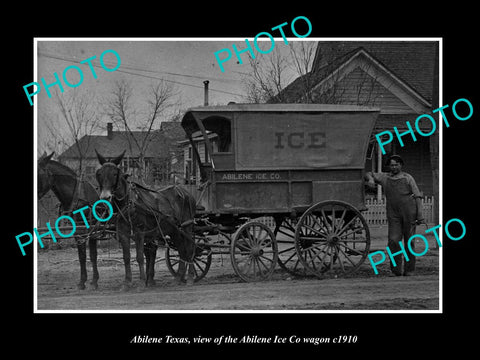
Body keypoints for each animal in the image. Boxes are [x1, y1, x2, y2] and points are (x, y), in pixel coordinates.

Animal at [38, 152, 103, 290]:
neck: (78, 197)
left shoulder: (90, 231)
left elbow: (92, 255)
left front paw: (94, 280)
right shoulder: (78, 231)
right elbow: (82, 256)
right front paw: (83, 281)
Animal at [94, 149, 196, 286]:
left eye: (115, 174)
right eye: (99, 174)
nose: (105, 197)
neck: (128, 202)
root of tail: (186, 192)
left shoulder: (139, 231)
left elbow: (139, 257)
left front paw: (142, 282)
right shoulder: (123, 232)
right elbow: (127, 257)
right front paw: (127, 282)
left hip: (187, 225)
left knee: (190, 248)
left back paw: (190, 277)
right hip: (174, 229)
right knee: (181, 249)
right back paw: (179, 277)